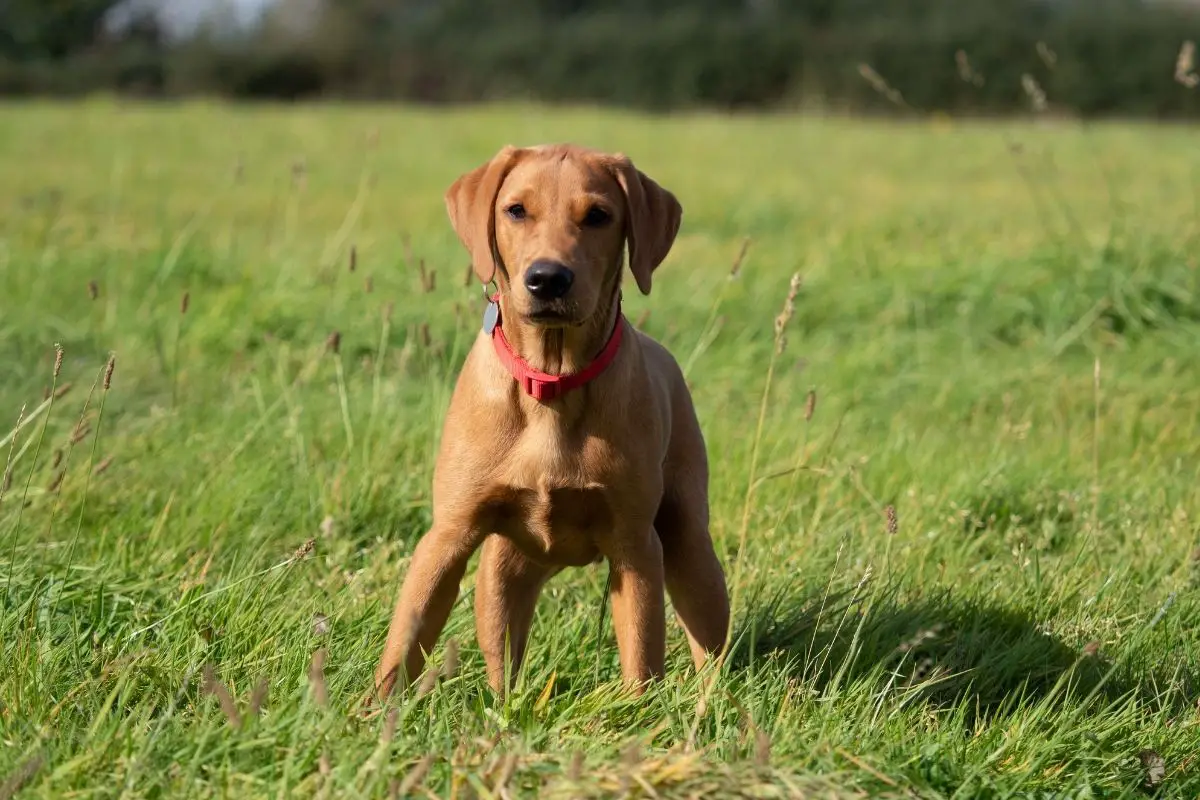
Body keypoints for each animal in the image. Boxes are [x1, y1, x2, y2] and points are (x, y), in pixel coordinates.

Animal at [369, 143, 729, 700]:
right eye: (516, 210)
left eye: (598, 215)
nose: (547, 279)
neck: (552, 382)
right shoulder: (448, 535)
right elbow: (405, 639)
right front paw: (370, 712)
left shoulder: (634, 544)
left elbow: (642, 654)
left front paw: (635, 716)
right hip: (503, 573)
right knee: (502, 660)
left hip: (689, 543)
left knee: (708, 646)